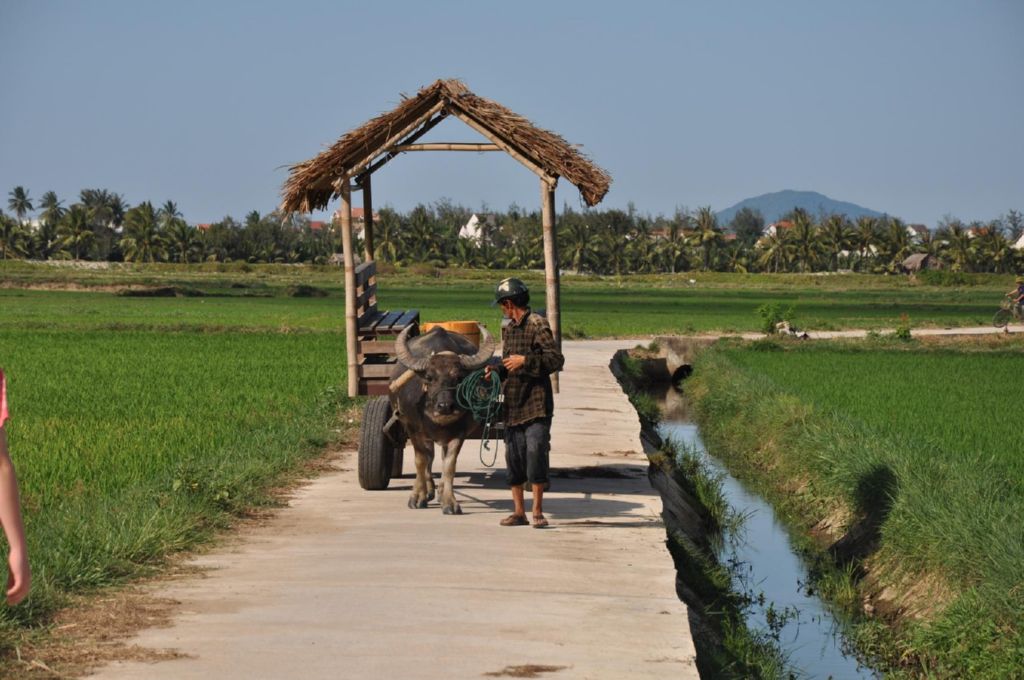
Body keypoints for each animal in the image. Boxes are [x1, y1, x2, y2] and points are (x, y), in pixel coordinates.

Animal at [391, 327, 495, 512]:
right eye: (429, 378)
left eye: (459, 378)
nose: (445, 406)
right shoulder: (412, 429)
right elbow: (420, 461)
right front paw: (417, 497)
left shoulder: (459, 434)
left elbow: (449, 465)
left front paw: (449, 501)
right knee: (428, 458)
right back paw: (428, 490)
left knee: (436, 456)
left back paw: (437, 491)